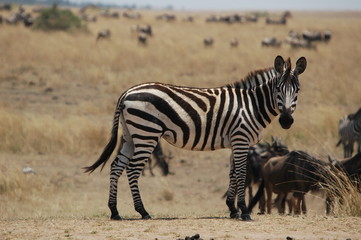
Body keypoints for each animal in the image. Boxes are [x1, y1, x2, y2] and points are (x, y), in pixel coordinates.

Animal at [84, 55, 306, 220]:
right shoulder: (241, 139)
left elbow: (233, 174)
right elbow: (241, 174)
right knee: (132, 169)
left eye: (297, 90)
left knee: (116, 166)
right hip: (147, 134)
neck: (251, 105)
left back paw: (114, 211)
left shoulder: (235, 142)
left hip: (131, 135)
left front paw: (232, 209)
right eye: (278, 89)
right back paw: (143, 211)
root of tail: (126, 92)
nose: (286, 120)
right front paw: (243, 211)